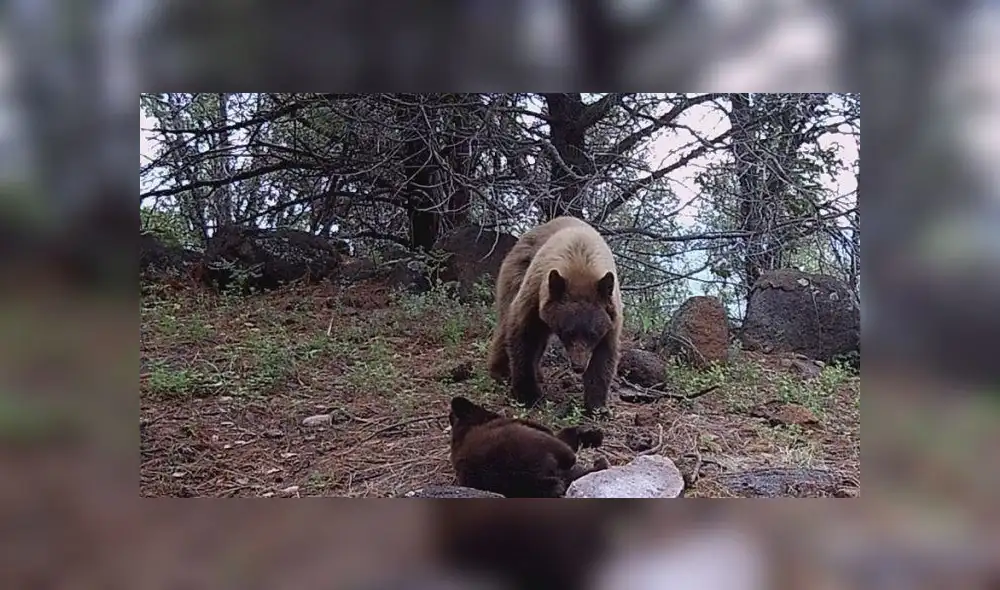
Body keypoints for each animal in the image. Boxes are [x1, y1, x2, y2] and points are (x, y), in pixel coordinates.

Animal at [486, 216, 624, 414]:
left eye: (592, 334)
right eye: (568, 333)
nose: (579, 366)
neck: (581, 265)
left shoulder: (611, 315)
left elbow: (605, 355)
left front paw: (597, 407)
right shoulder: (535, 293)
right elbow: (523, 335)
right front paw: (528, 394)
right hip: (515, 273)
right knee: (506, 322)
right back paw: (500, 371)